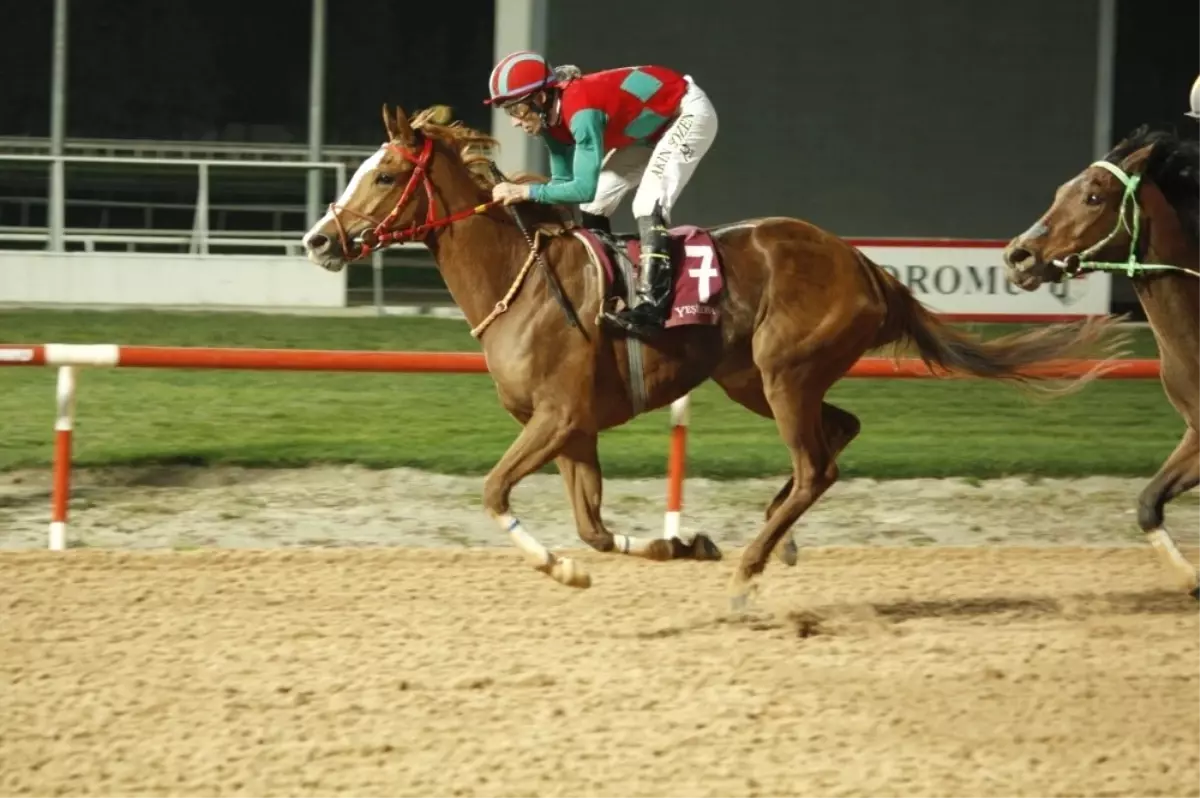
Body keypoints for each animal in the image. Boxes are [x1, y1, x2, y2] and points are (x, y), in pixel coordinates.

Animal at [304, 104, 1128, 604]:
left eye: (384, 173)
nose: (316, 240)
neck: (522, 277)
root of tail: (866, 265)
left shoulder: (556, 417)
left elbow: (495, 492)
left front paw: (560, 569)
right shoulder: (575, 429)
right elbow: (594, 527)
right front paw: (683, 544)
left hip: (784, 370)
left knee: (817, 464)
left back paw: (753, 563)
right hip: (751, 378)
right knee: (839, 433)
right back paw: (774, 536)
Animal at [1003, 123, 1200, 597]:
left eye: (1093, 196)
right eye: (1061, 191)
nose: (1018, 255)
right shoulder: (1197, 430)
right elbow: (1148, 504)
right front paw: (1188, 578)